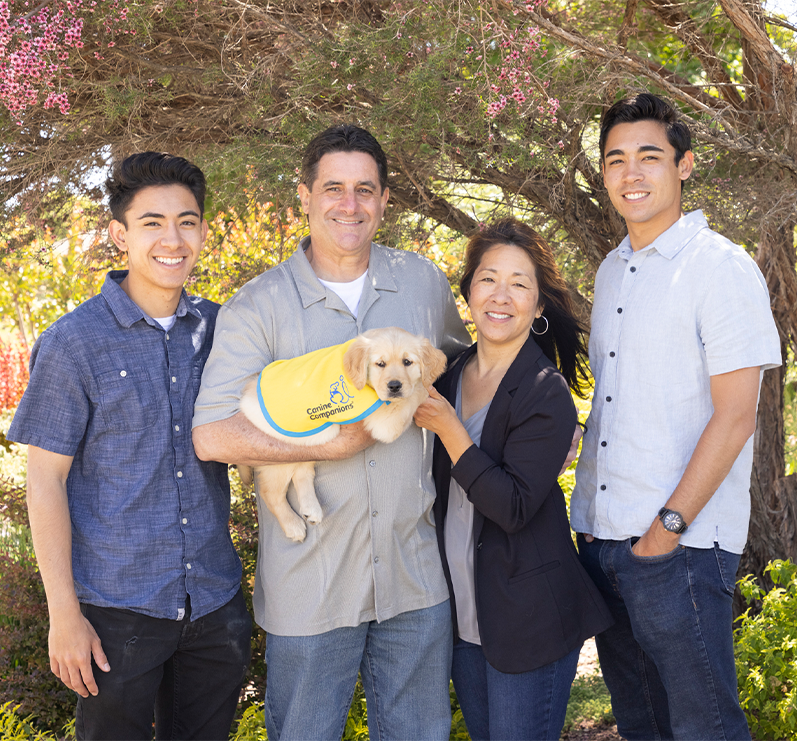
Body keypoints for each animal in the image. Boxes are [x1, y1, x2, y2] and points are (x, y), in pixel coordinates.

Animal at [236, 326, 448, 540]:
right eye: (380, 364)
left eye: (407, 362)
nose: (394, 386)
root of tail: (246, 398)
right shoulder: (384, 423)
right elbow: (416, 394)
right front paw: (428, 391)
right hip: (280, 451)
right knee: (271, 493)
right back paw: (293, 525)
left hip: (306, 441)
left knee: (302, 473)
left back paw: (311, 509)